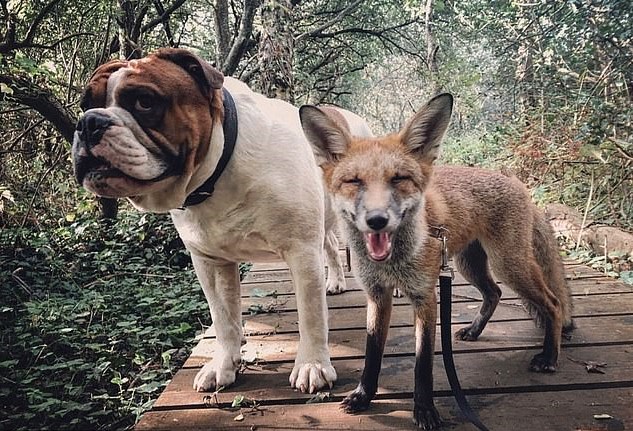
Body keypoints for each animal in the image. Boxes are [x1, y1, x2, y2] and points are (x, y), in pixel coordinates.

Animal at [71, 47, 373, 394]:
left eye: (144, 102)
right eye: (85, 104)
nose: (88, 122)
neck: (214, 175)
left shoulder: (301, 252)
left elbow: (310, 316)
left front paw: (312, 365)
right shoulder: (210, 262)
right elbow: (224, 319)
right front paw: (224, 365)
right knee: (331, 245)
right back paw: (335, 281)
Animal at [299, 94, 574, 429]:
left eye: (399, 179)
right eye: (353, 181)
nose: (377, 220)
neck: (393, 263)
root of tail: (516, 181)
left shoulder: (425, 296)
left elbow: (423, 363)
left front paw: (425, 410)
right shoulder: (377, 295)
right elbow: (372, 352)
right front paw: (364, 396)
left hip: (509, 266)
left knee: (553, 304)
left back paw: (549, 357)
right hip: (469, 265)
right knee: (494, 294)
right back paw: (474, 331)